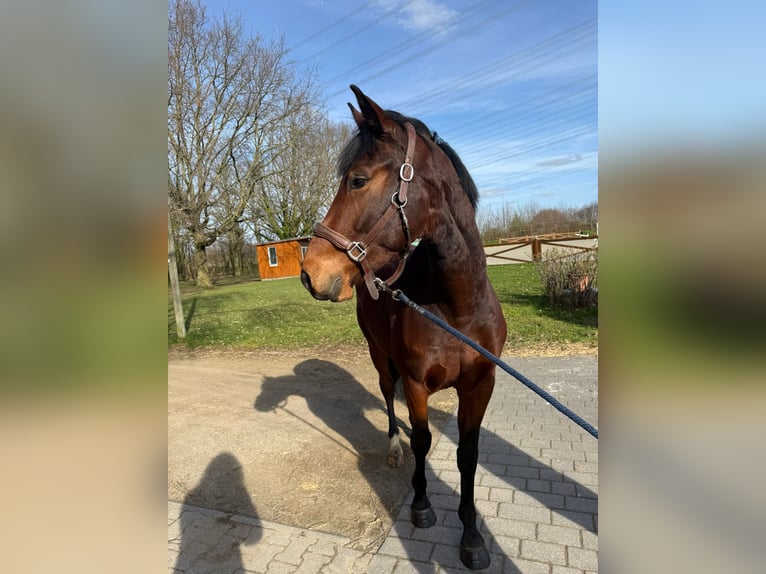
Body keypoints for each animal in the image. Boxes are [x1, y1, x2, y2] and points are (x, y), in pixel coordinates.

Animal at [300, 85, 507, 570]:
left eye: (357, 180)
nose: (310, 272)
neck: (456, 309)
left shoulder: (480, 385)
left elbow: (468, 455)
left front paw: (472, 537)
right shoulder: (415, 383)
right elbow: (423, 441)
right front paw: (421, 505)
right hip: (378, 354)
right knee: (387, 397)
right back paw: (393, 447)